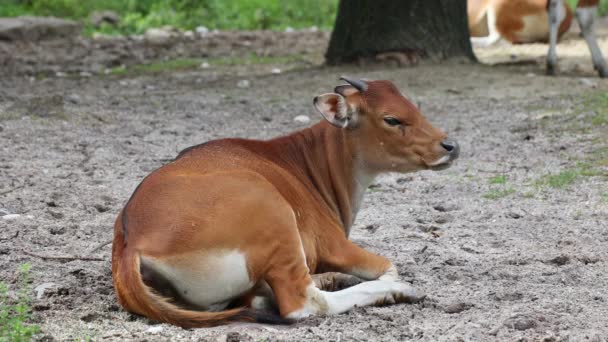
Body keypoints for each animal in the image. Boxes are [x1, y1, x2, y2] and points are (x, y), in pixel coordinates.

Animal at [110, 76, 460, 328]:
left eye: (414, 107)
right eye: (392, 119)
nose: (451, 146)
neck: (306, 163)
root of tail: (132, 243)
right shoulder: (334, 244)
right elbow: (389, 267)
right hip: (275, 215)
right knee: (301, 304)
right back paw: (397, 292)